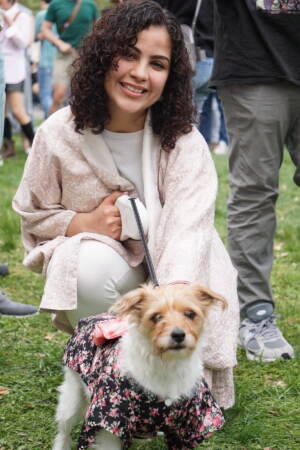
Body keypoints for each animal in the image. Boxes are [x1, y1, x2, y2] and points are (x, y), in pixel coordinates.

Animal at [52, 284, 226, 448]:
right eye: (156, 317)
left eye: (190, 314)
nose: (178, 335)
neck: (167, 364)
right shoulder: (112, 422)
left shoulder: (186, 429)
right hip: (71, 399)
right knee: (64, 431)